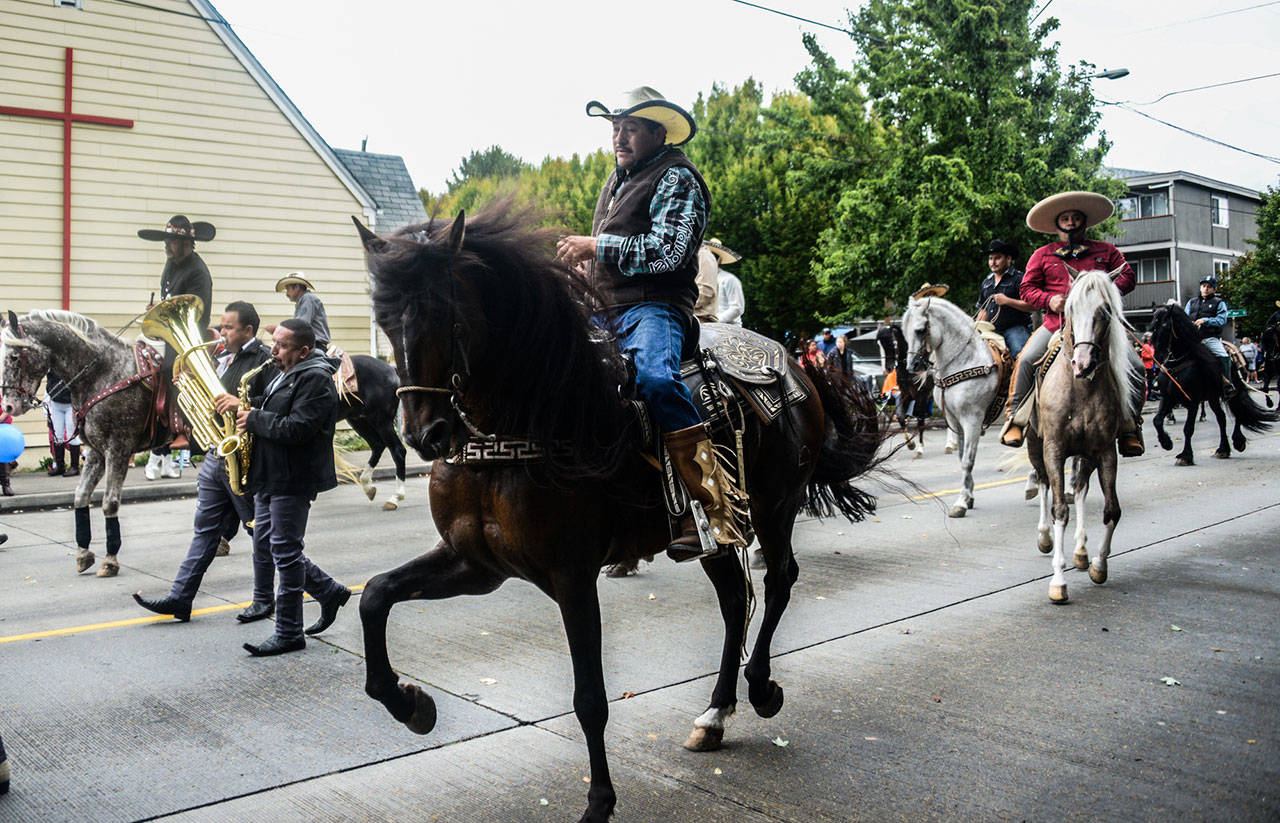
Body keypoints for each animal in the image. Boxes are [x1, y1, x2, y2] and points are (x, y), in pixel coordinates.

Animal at [350, 211, 885, 823]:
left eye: (447, 314)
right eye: (383, 320)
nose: (424, 434)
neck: (524, 419)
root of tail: (793, 363)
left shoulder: (572, 577)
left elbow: (590, 699)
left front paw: (599, 802)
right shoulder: (475, 564)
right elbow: (375, 595)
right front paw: (409, 704)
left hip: (775, 507)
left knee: (779, 580)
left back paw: (760, 688)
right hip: (715, 533)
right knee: (734, 602)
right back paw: (715, 714)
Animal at [875, 322, 936, 458]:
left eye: (893, 343)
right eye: (879, 345)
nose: (888, 368)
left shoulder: (922, 395)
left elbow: (920, 420)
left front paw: (920, 448)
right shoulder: (905, 394)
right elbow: (901, 418)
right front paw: (910, 444)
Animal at [1024, 270, 1146, 604]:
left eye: (1105, 311)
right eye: (1069, 309)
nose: (1083, 363)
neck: (1081, 388)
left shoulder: (1105, 452)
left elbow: (1111, 510)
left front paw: (1098, 565)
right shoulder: (1053, 449)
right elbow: (1059, 509)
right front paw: (1058, 581)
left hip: (1086, 454)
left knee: (1079, 487)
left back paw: (1080, 551)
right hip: (1035, 446)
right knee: (1043, 484)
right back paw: (1043, 537)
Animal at [1146, 305, 1274, 465]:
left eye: (1166, 326)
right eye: (1153, 327)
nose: (1158, 356)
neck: (1177, 364)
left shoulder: (1193, 401)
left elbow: (1188, 428)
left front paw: (1185, 456)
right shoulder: (1168, 397)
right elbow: (1157, 420)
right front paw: (1166, 443)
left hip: (1230, 392)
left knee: (1238, 410)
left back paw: (1238, 441)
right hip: (1212, 398)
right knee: (1221, 418)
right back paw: (1223, 449)